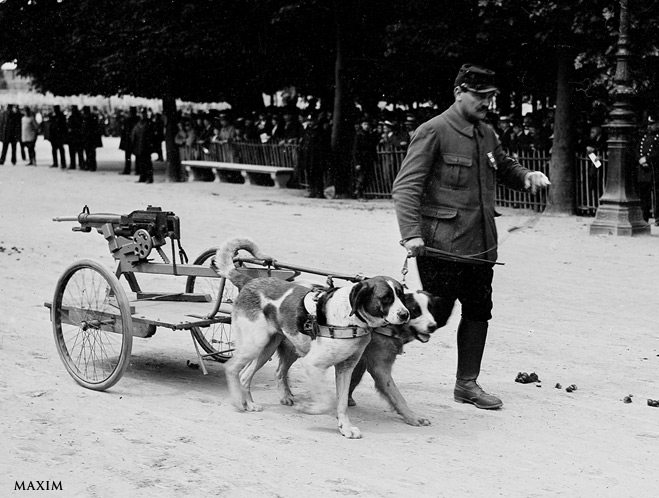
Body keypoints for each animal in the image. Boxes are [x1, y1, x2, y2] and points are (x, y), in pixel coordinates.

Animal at [214, 236, 410, 436]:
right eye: (385, 298)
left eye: (401, 296)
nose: (405, 314)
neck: (350, 319)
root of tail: (249, 281)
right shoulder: (312, 364)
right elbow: (328, 401)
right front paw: (306, 408)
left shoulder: (346, 368)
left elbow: (341, 403)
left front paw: (345, 428)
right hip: (255, 344)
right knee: (231, 368)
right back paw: (238, 402)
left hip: (266, 348)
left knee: (245, 375)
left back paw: (250, 404)